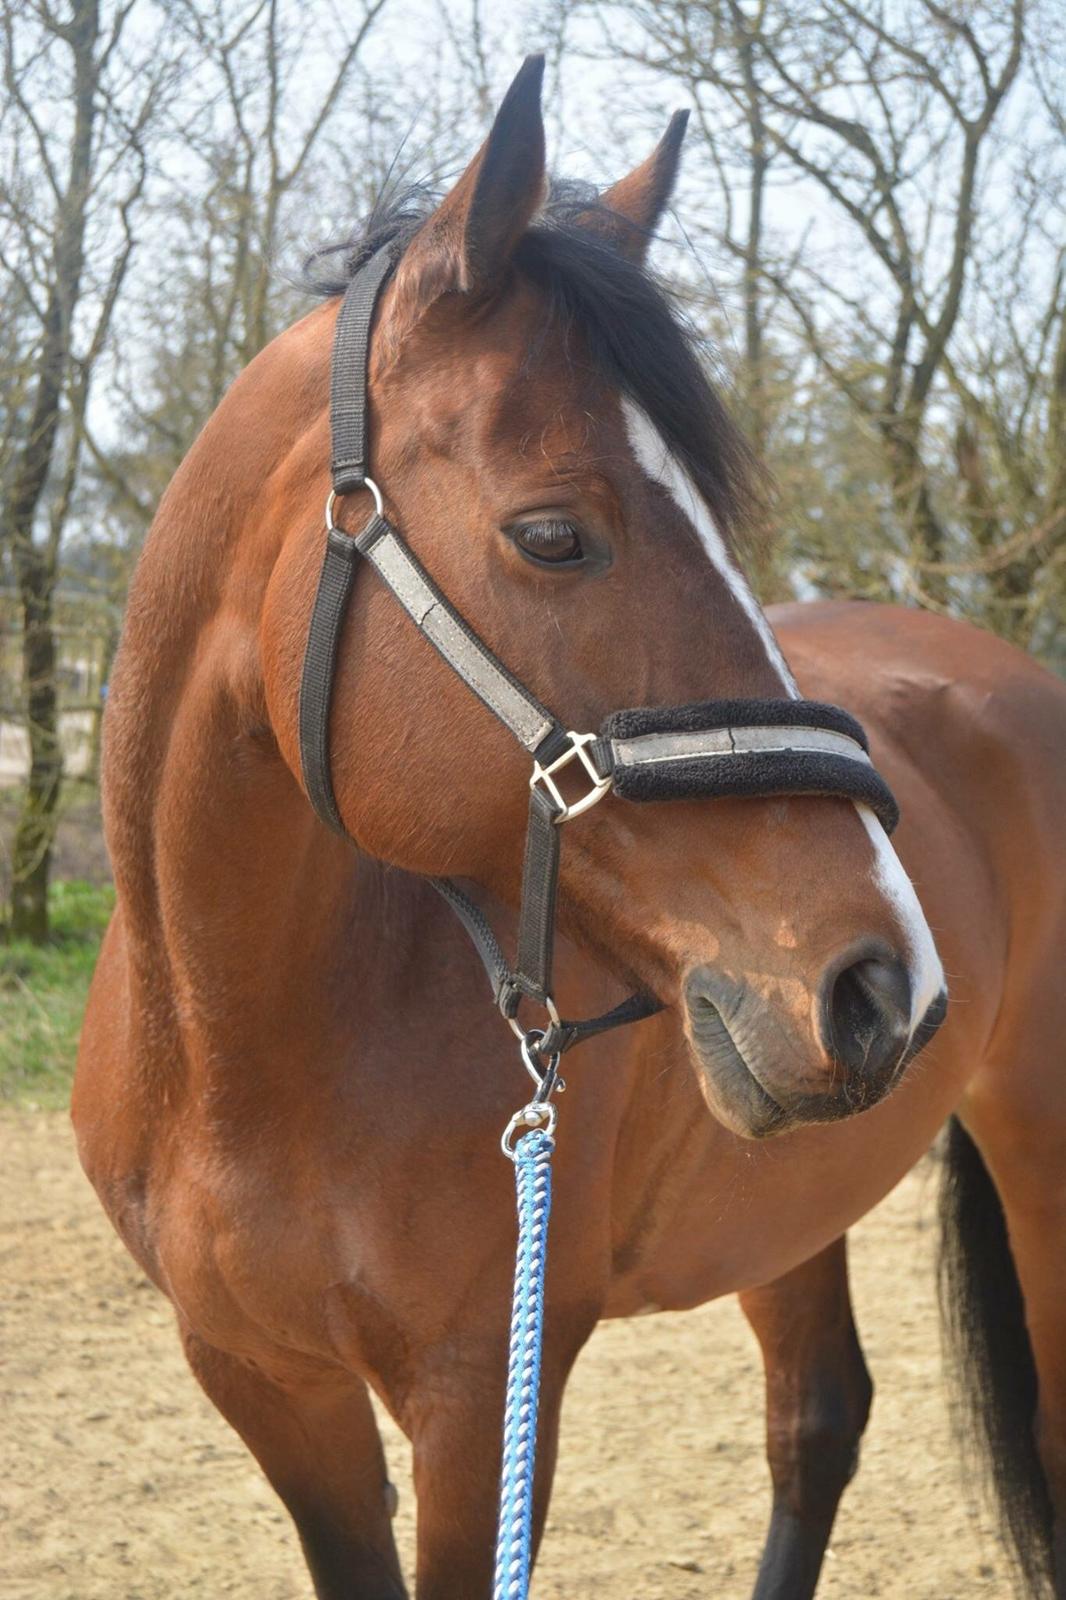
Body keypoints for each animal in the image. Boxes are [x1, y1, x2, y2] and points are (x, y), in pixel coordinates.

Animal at [73, 55, 1066, 1599]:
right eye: (553, 535)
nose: (882, 986)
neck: (234, 1052)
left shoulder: (484, 1397)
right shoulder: (269, 1390)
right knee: (815, 1421)